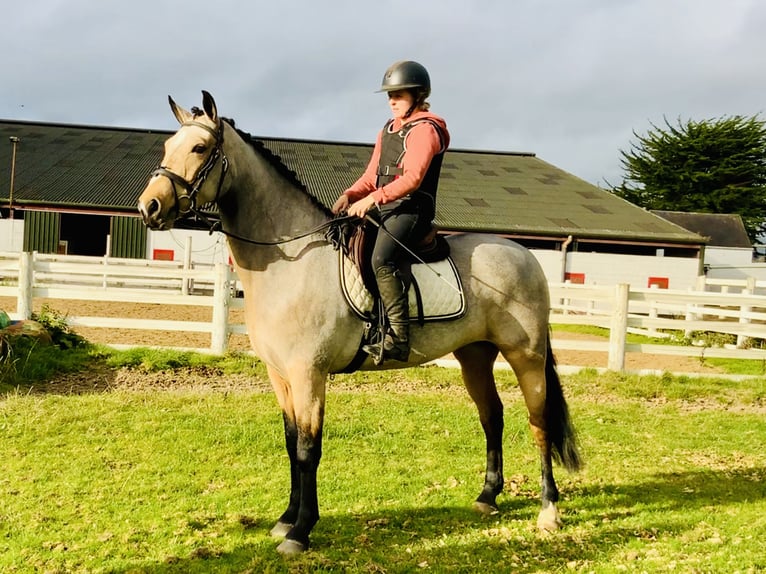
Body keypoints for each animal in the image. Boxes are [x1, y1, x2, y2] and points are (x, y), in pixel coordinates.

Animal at [138, 92, 584, 556]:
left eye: (199, 148)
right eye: (167, 146)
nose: (149, 207)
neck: (291, 259)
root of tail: (524, 254)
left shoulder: (309, 374)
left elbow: (307, 449)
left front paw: (300, 531)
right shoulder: (281, 375)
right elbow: (290, 442)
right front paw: (286, 519)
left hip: (525, 356)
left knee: (539, 422)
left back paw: (549, 510)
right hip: (474, 354)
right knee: (491, 416)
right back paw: (487, 497)